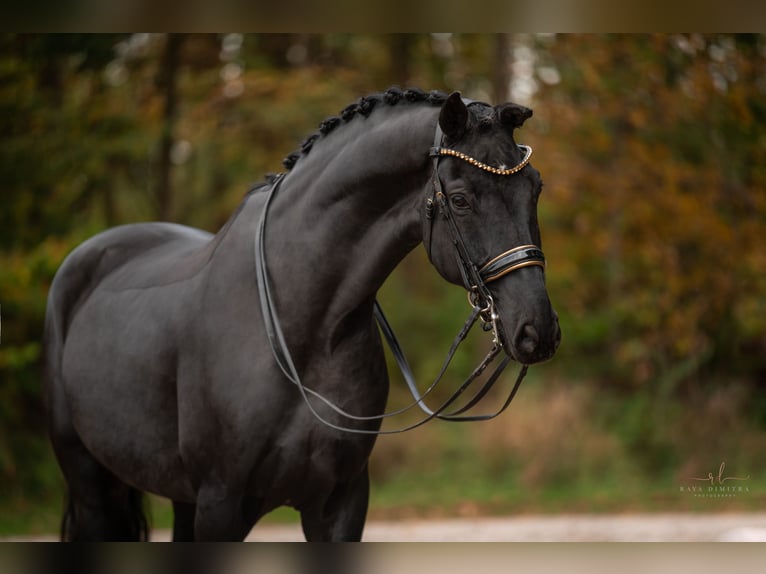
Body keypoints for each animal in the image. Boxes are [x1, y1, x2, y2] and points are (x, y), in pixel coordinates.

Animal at [45, 88, 564, 544]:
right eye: (459, 199)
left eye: (535, 187)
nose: (537, 330)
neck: (304, 328)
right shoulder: (220, 504)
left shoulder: (340, 503)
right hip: (91, 482)